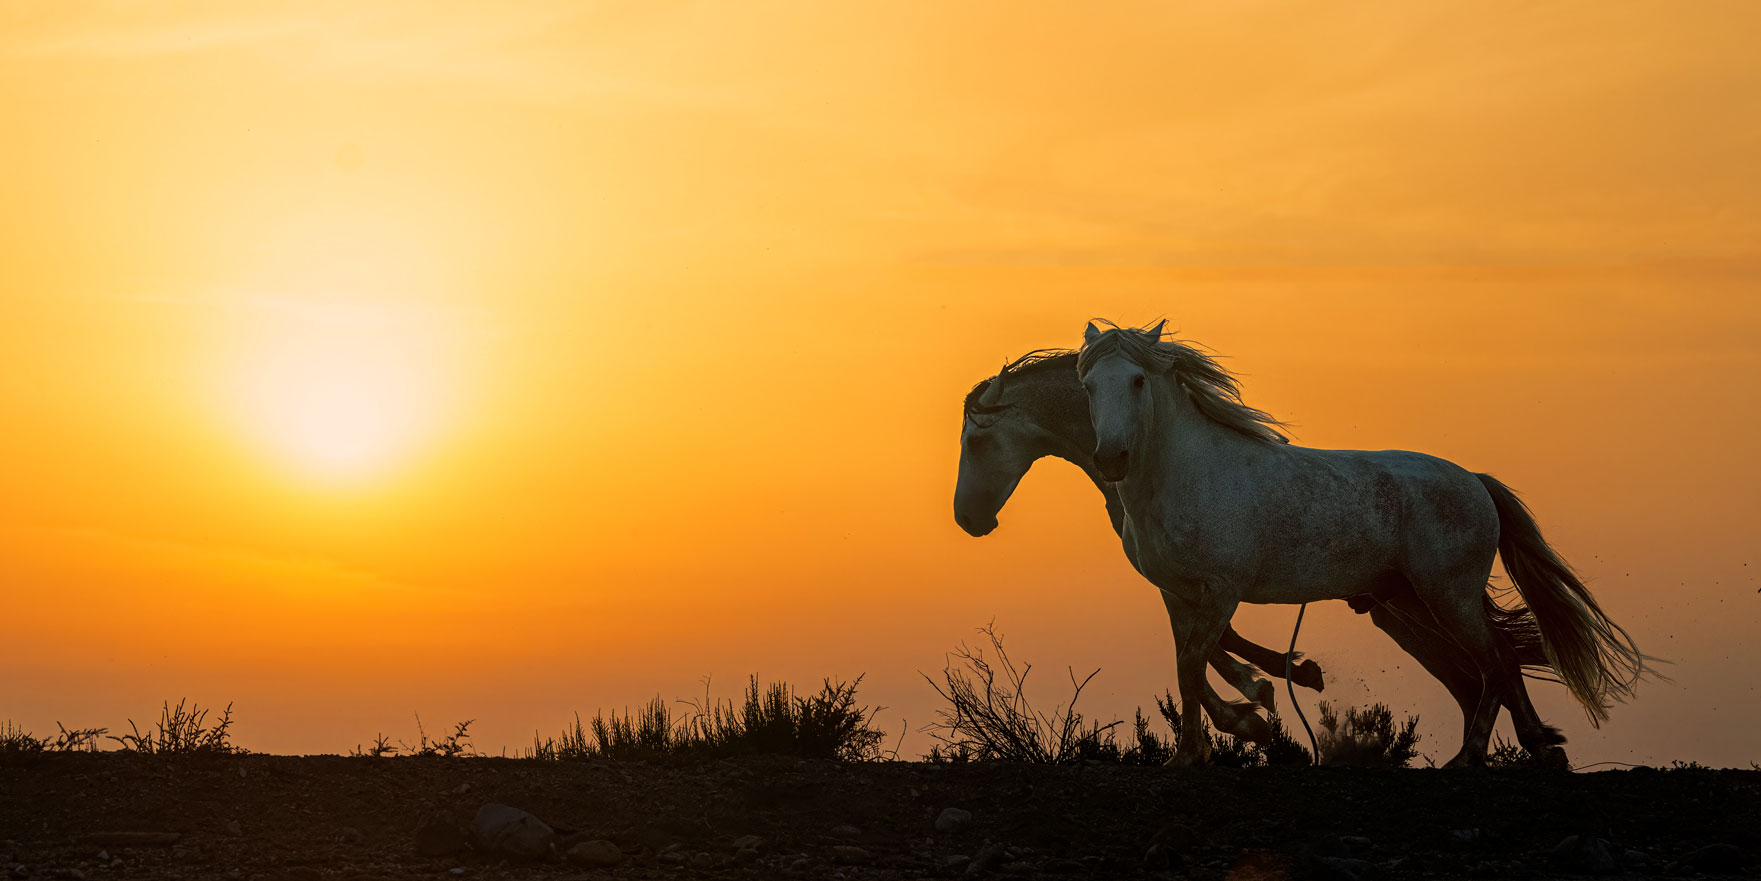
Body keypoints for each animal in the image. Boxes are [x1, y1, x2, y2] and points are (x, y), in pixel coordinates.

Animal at [1077, 320, 1649, 767]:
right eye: (1088, 386)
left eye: (1137, 380)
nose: (1111, 458)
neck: (1188, 476)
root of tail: (1474, 481)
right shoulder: (1177, 594)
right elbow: (1186, 668)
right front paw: (1191, 754)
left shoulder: (1222, 590)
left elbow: (1196, 663)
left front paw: (1251, 723)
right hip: (1412, 607)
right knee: (1471, 677)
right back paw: (1519, 748)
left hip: (1449, 596)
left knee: (1499, 661)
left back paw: (1481, 756)